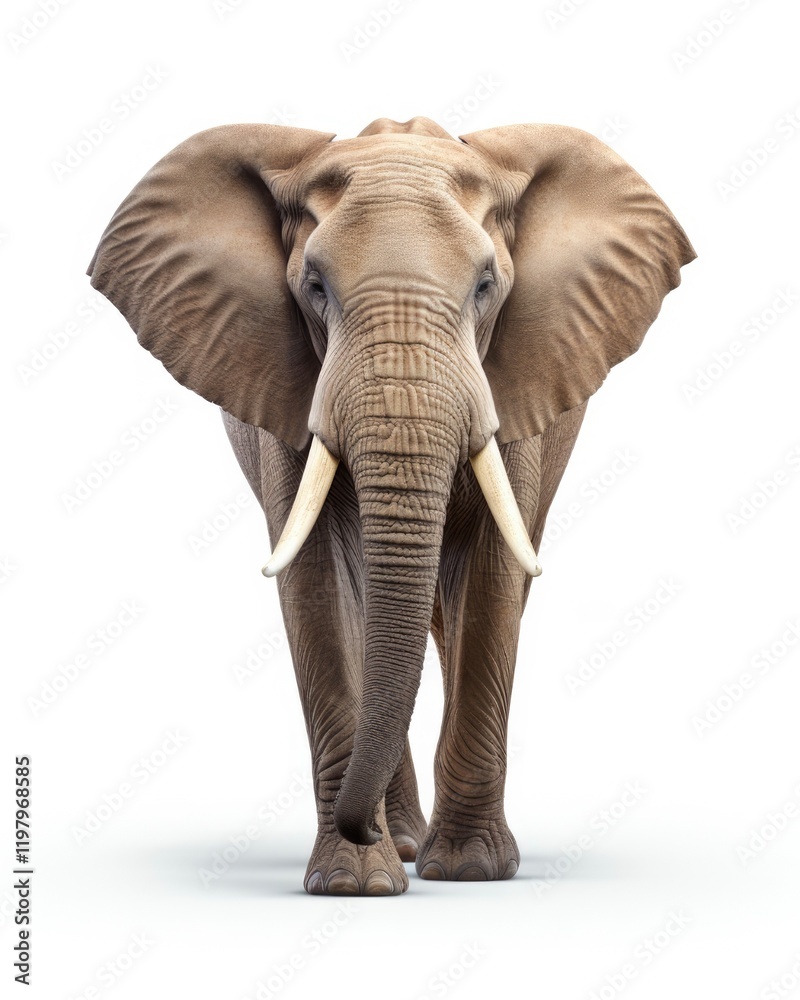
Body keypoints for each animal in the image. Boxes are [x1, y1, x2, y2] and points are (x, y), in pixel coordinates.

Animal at [88, 115, 695, 896]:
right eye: (314, 287)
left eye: (486, 286)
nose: (360, 829)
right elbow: (317, 582)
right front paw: (357, 883)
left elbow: (492, 581)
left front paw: (470, 872)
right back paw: (401, 844)